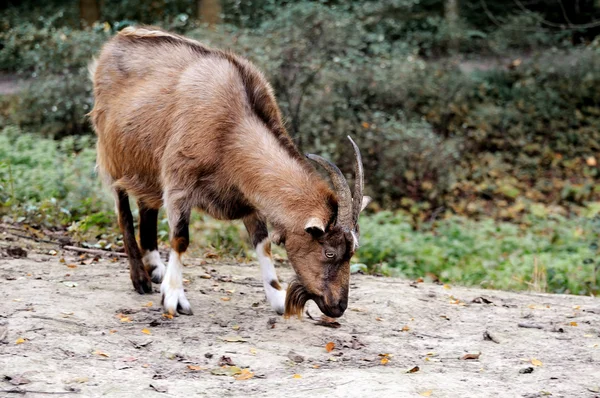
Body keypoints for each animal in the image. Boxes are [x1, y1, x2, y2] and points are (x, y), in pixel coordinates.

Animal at [89, 27, 370, 318]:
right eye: (329, 253)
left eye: (351, 253)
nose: (338, 307)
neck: (231, 130)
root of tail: (115, 42)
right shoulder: (179, 183)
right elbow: (180, 239)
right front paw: (174, 297)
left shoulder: (249, 196)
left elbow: (263, 244)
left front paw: (277, 297)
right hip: (112, 156)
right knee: (123, 209)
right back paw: (141, 279)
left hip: (146, 169)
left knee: (147, 207)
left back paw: (155, 269)